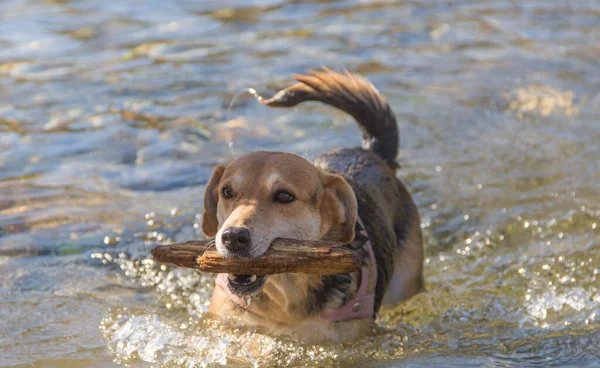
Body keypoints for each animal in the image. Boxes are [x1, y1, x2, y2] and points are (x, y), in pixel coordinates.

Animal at [204, 68, 424, 342]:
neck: (283, 302)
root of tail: (373, 152)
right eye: (227, 192)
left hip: (405, 280)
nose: (232, 237)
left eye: (284, 196)